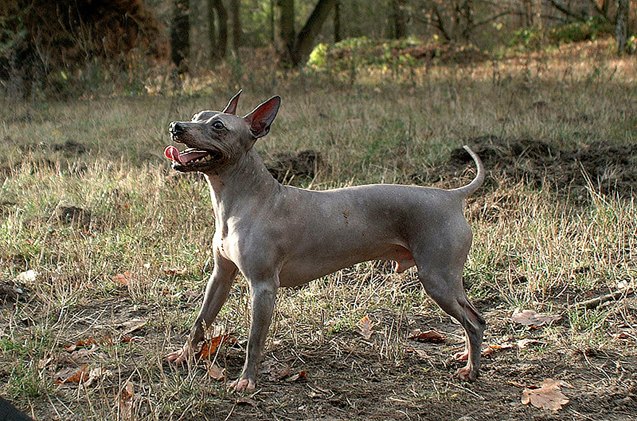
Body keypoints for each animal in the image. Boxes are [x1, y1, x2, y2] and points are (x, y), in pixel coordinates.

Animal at [165, 91, 486, 390]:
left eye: (218, 125)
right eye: (197, 116)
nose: (175, 126)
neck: (244, 201)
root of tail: (450, 196)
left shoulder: (263, 287)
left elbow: (254, 341)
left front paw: (247, 381)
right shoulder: (221, 276)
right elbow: (200, 321)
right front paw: (184, 356)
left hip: (437, 280)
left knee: (474, 322)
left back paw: (471, 370)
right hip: (446, 281)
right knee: (474, 317)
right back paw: (466, 356)